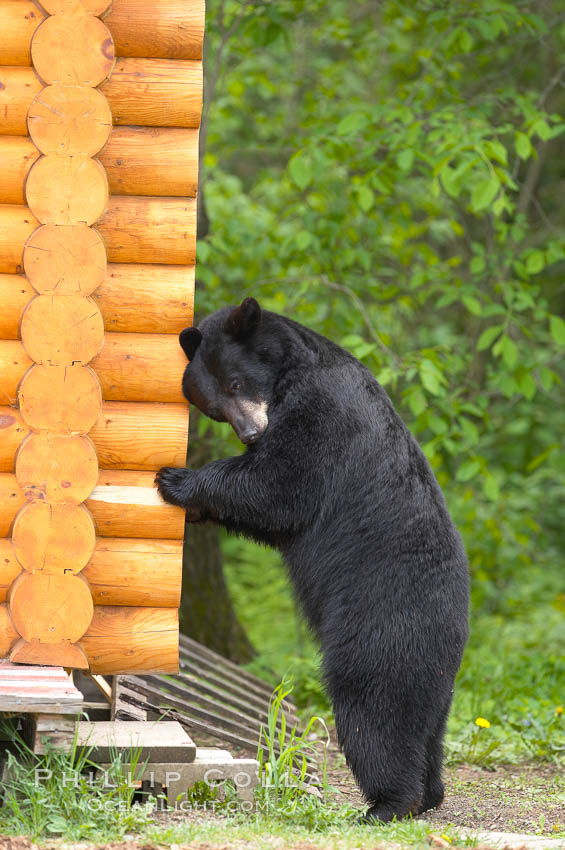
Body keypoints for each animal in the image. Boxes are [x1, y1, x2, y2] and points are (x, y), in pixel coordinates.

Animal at [154, 294, 468, 820]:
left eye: (236, 382)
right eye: (214, 407)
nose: (250, 433)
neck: (290, 370)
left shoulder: (321, 412)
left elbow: (280, 485)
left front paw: (178, 480)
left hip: (378, 628)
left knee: (374, 709)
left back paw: (388, 804)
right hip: (436, 677)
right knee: (428, 725)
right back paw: (430, 796)